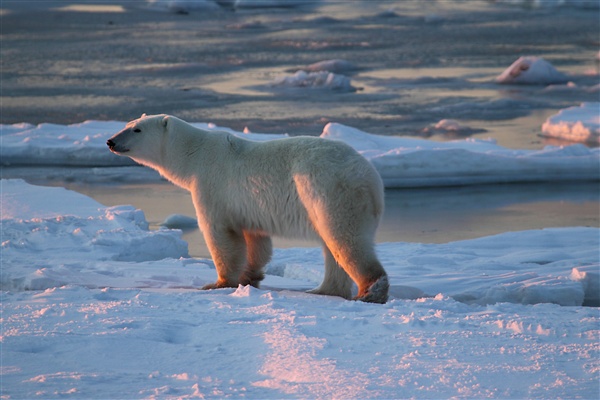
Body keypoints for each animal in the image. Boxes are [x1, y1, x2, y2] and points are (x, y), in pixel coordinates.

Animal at [108, 115, 390, 304]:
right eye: (126, 124)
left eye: (136, 129)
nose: (110, 141)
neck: (194, 154)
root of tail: (370, 177)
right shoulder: (250, 204)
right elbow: (256, 240)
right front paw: (249, 277)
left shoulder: (212, 185)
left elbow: (220, 234)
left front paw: (218, 283)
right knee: (333, 246)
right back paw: (324, 290)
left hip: (327, 191)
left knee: (344, 238)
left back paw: (369, 292)